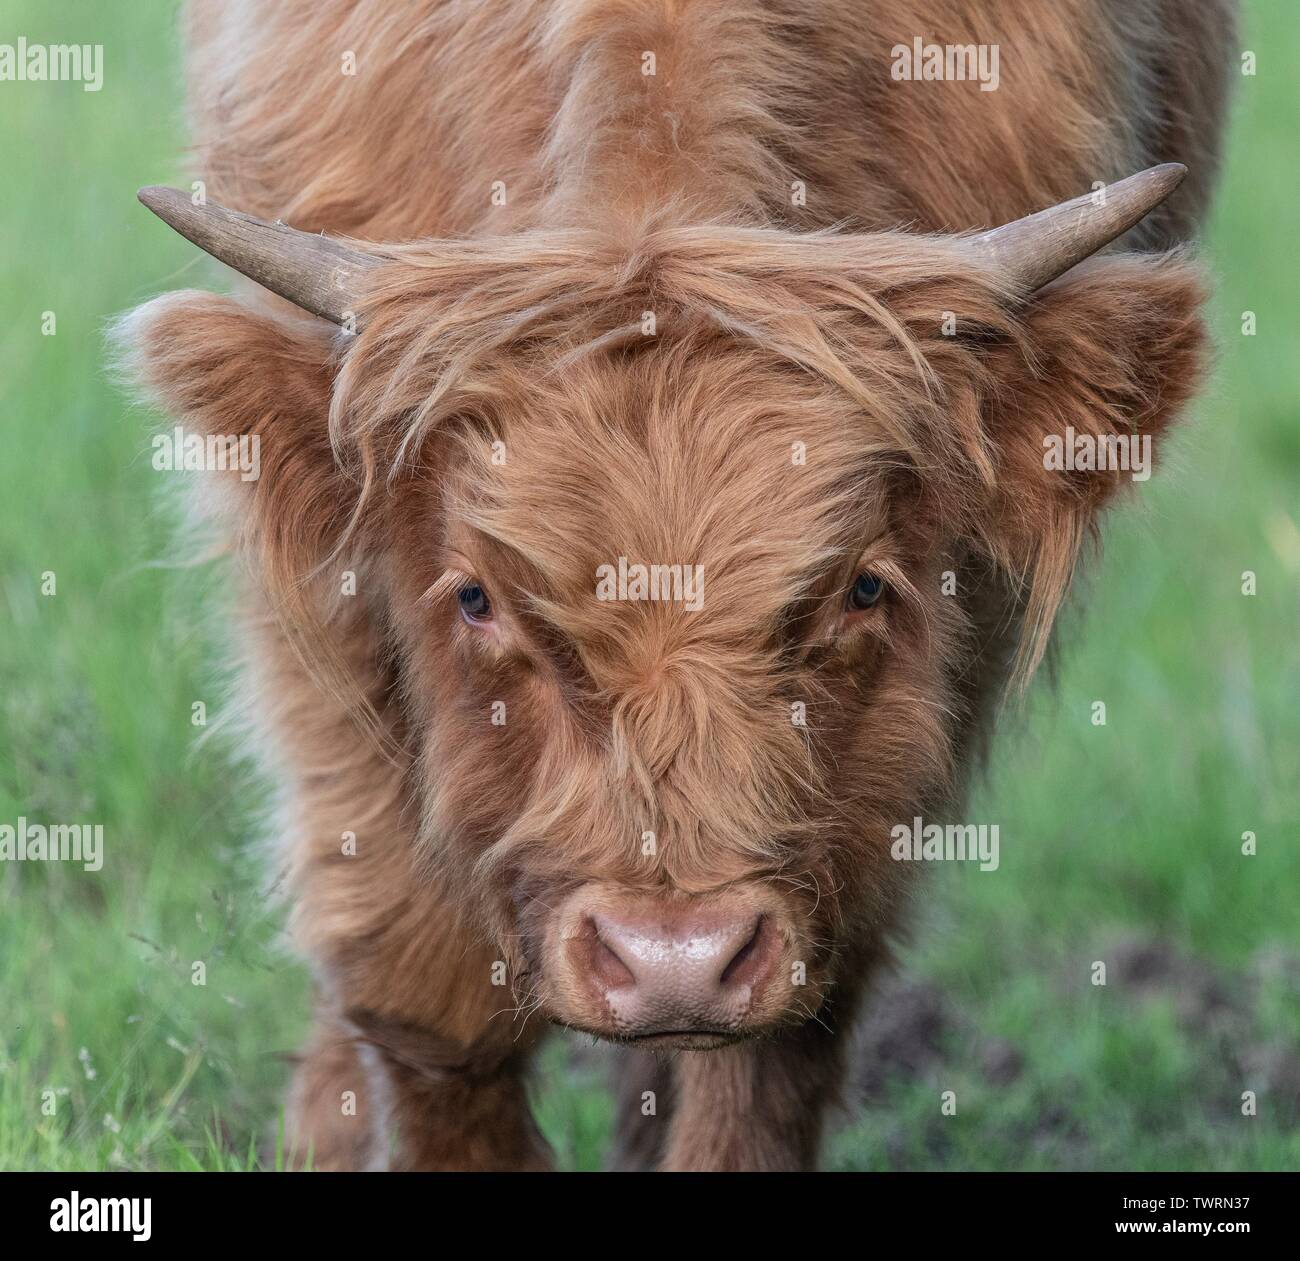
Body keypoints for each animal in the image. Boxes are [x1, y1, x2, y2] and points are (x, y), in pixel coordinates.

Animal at [120, 0, 1236, 1170]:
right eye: (475, 596)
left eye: (864, 588)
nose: (675, 960)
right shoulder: (320, 595)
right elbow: (420, 981)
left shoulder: (945, 663)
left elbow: (772, 1057)